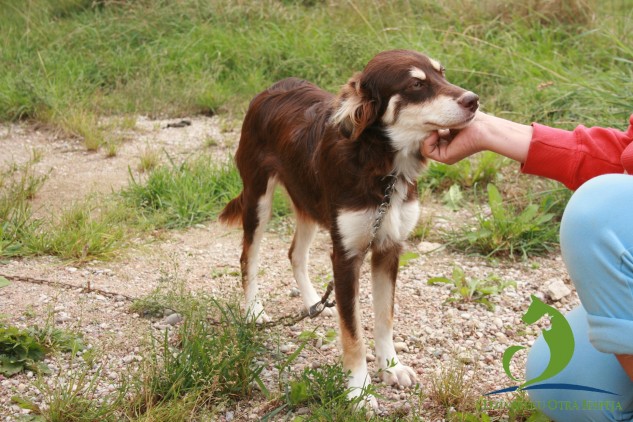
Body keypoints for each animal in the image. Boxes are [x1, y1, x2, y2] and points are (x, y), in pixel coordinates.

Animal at [219, 49, 478, 408]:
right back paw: (254, 312)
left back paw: (315, 303)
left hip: (309, 202)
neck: (384, 167)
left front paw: (391, 366)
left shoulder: (389, 248)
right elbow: (353, 334)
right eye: (415, 84)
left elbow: (384, 318)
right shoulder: (346, 255)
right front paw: (359, 390)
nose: (474, 100)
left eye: (442, 73)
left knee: (295, 254)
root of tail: (271, 89)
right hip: (258, 199)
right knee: (249, 257)